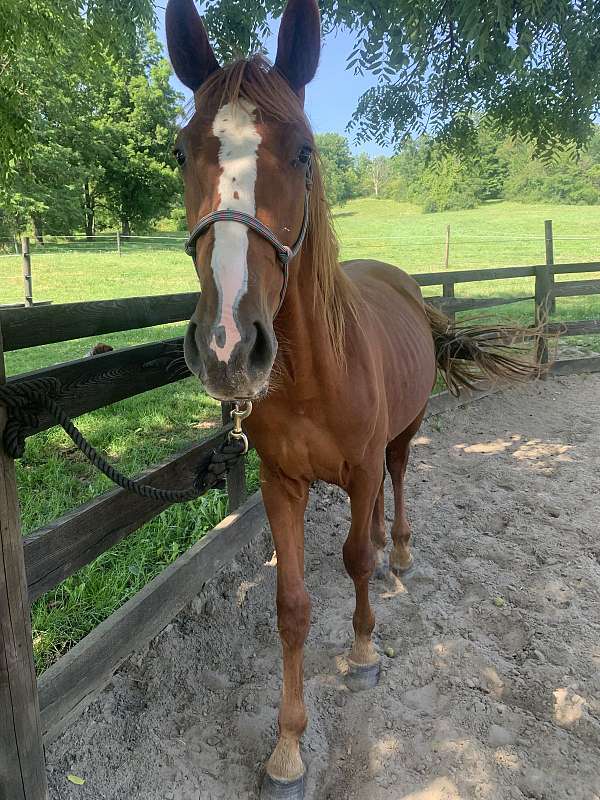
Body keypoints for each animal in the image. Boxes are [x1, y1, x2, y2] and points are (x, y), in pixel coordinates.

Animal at [165, 1, 538, 796]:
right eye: (182, 153)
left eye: (304, 151)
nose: (227, 344)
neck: (316, 376)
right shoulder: (282, 484)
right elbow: (292, 605)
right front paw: (288, 749)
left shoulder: (363, 465)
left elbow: (358, 561)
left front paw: (364, 655)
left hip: (402, 438)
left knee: (392, 494)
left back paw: (399, 554)